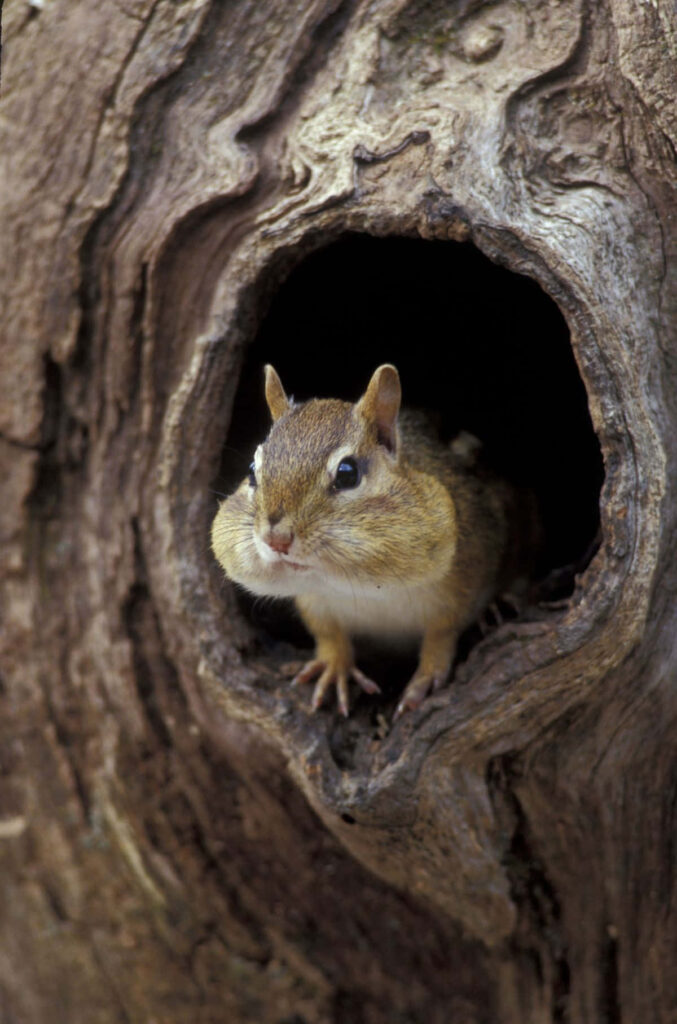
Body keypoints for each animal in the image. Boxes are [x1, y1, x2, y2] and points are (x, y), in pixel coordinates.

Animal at [211, 364, 541, 719]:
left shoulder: (467, 576)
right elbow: (328, 633)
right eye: (252, 470)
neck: (354, 585)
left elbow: (443, 633)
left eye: (347, 473)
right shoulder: (315, 601)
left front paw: (425, 677)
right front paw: (334, 666)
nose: (277, 539)